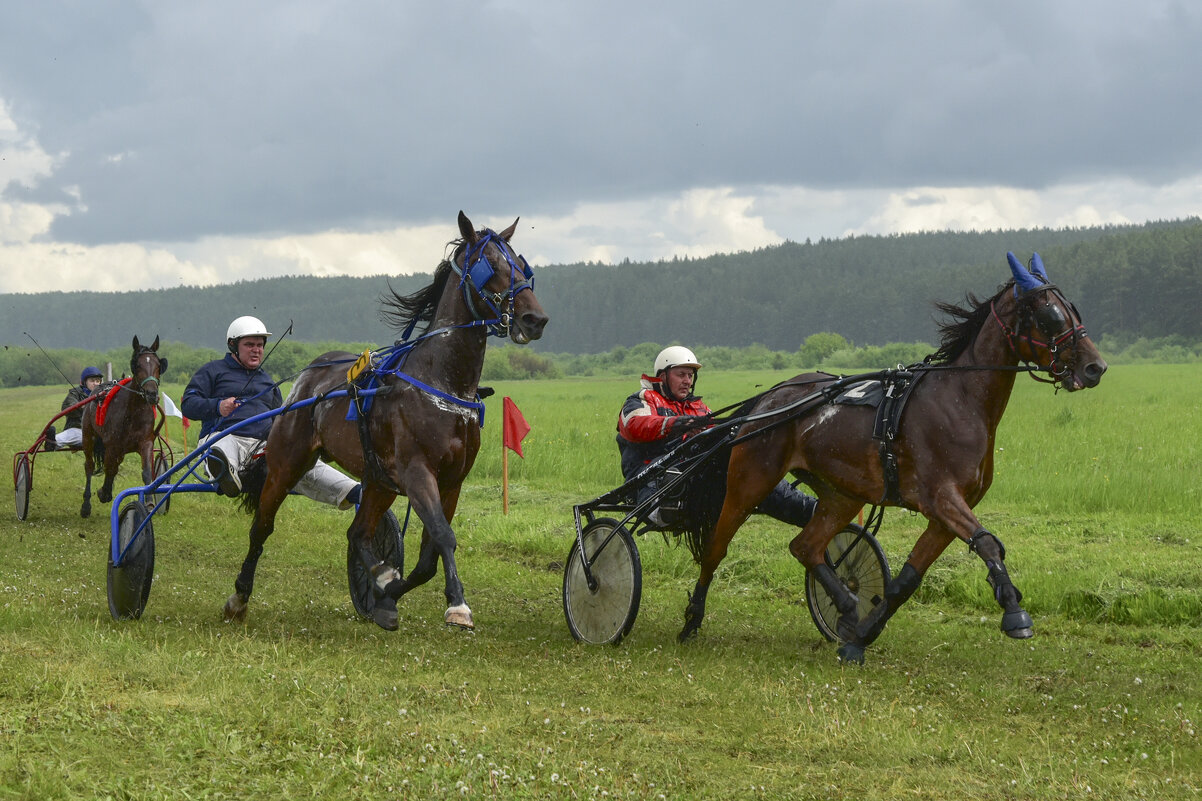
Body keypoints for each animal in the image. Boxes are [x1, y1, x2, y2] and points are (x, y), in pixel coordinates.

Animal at [79, 331, 167, 514]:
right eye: (137, 365)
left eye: (158, 365)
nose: (152, 394)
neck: (133, 413)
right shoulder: (112, 445)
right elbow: (109, 468)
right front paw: (104, 492)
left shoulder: (145, 442)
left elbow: (147, 472)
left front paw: (149, 502)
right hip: (88, 436)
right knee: (90, 465)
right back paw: (86, 504)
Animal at [225, 211, 550, 630]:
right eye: (489, 264)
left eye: (522, 266)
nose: (535, 318)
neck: (442, 381)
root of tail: (307, 378)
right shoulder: (416, 472)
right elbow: (443, 536)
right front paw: (455, 604)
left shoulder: (452, 481)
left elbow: (429, 554)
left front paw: (389, 594)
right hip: (288, 461)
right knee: (262, 526)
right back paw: (239, 597)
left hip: (378, 480)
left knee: (358, 532)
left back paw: (378, 578)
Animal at [677, 251, 1105, 659]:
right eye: (1050, 316)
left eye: (1073, 309)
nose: (1095, 367)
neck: (960, 400)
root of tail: (770, 397)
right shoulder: (941, 497)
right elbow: (987, 544)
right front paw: (1015, 612)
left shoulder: (946, 514)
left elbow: (906, 580)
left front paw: (859, 639)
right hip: (750, 482)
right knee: (716, 548)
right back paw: (692, 620)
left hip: (842, 494)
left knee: (806, 546)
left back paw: (847, 607)